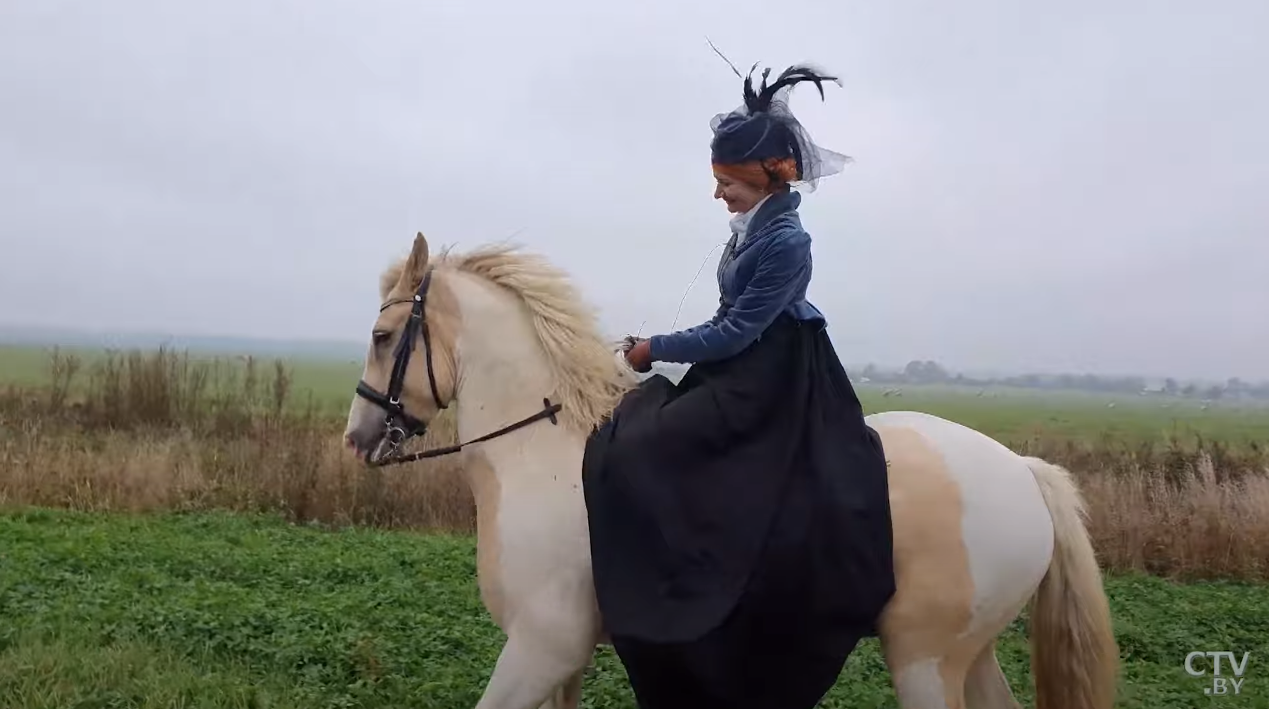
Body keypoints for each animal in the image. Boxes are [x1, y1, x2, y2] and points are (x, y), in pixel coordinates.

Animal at [345, 234, 1121, 709]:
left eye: (382, 336)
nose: (356, 438)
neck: (539, 449)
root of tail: (1023, 470)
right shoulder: (563, 657)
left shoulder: (541, 644)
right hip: (970, 652)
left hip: (923, 658)